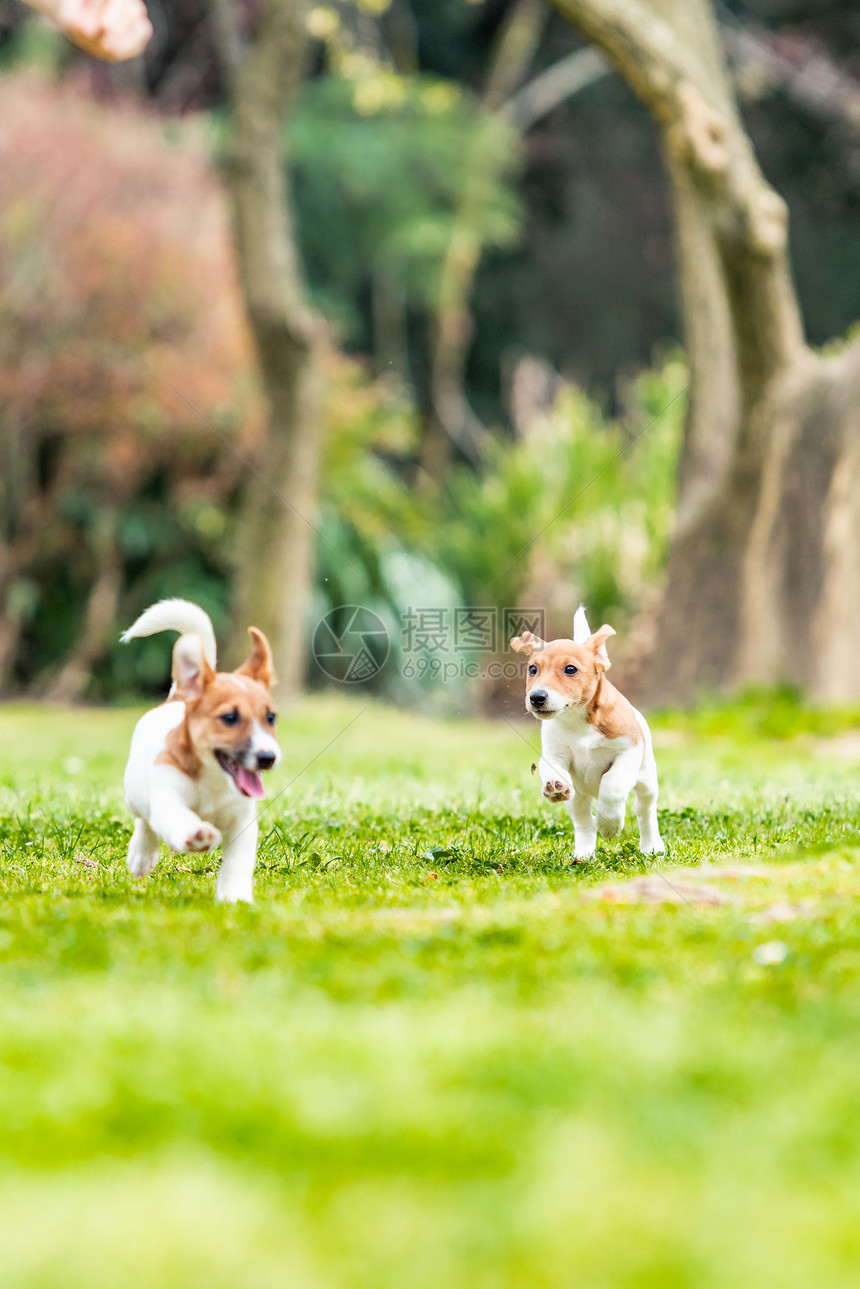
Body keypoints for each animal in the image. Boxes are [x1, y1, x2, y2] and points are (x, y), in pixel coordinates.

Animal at [116, 598, 279, 902]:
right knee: (145, 822)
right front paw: (196, 833)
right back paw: (142, 855)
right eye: (230, 718)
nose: (267, 758)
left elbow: (237, 863)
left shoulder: (242, 823)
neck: (213, 781)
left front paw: (235, 898)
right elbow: (179, 818)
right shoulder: (168, 798)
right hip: (136, 792)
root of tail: (177, 697)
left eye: (271, 718)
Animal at [510, 608, 665, 861]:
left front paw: (610, 823)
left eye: (570, 669)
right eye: (533, 669)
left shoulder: (628, 751)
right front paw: (555, 785)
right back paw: (583, 853)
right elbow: (552, 769)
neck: (578, 721)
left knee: (645, 812)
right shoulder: (553, 755)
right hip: (577, 797)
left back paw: (652, 846)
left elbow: (612, 783)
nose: (537, 697)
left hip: (647, 782)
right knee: (583, 821)